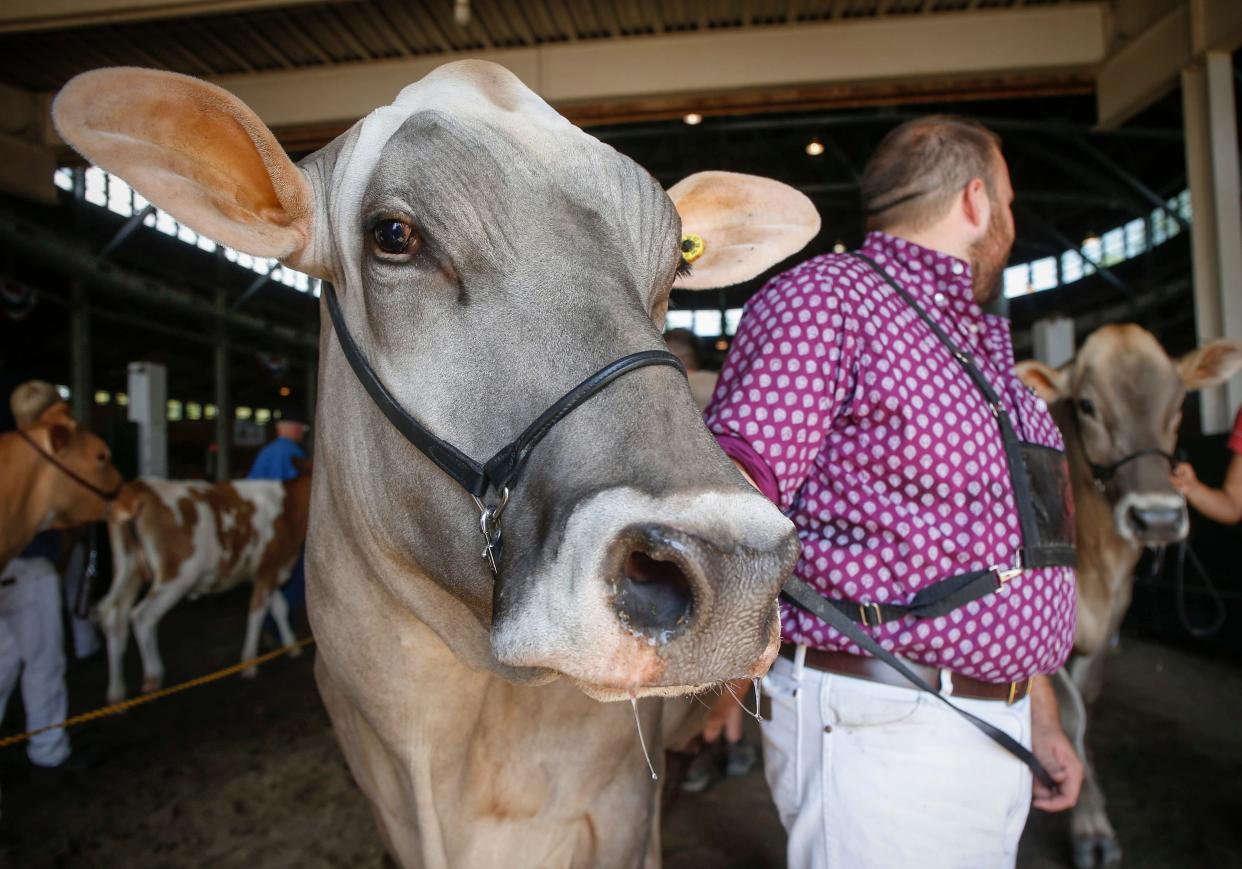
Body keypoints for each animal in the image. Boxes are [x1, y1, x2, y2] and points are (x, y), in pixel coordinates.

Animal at [96, 469, 310, 705]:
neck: (287, 507)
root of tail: (139, 487)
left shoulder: (268, 572)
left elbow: (279, 607)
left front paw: (291, 645)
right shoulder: (268, 569)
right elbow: (257, 614)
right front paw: (249, 663)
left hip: (129, 570)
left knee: (114, 619)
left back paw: (116, 692)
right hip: (177, 575)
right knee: (142, 616)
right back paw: (153, 675)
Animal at [1018, 325, 1242, 869]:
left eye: (1180, 403)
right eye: (1086, 405)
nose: (1157, 518)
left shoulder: (1111, 620)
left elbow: (1086, 706)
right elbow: (1070, 713)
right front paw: (1091, 830)